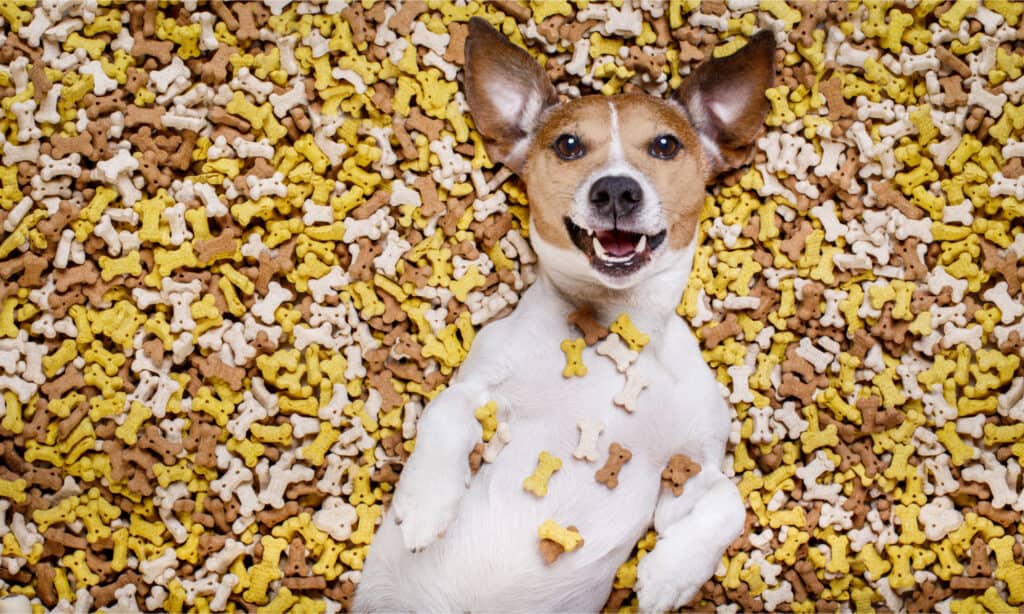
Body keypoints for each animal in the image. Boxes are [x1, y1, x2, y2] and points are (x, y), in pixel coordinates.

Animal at [354, 18, 774, 609]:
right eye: (569, 145)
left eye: (665, 145)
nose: (616, 189)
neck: (613, 326)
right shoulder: (478, 381)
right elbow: (444, 411)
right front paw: (426, 504)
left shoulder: (690, 467)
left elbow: (729, 502)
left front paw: (670, 575)